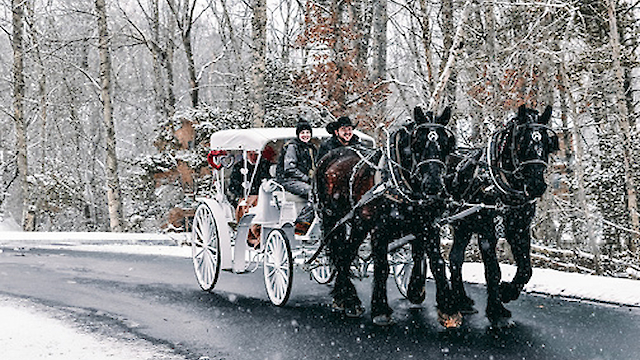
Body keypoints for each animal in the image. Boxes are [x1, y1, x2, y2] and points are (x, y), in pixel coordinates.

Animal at [316, 106, 460, 326]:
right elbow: (382, 266)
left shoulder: (428, 226)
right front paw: (381, 309)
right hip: (334, 217)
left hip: (357, 222)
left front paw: (448, 309)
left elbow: (436, 262)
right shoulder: (379, 229)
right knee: (342, 252)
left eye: (446, 144)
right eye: (417, 144)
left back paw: (345, 298)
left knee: (345, 252)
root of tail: (329, 156)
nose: (433, 185)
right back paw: (349, 299)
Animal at [442, 103, 556, 326]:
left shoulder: (520, 230)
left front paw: (507, 293)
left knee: (455, 258)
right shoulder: (487, 233)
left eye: (547, 144)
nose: (537, 186)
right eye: (522, 144)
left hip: (463, 226)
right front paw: (496, 310)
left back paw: (462, 300)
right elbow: (493, 271)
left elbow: (526, 269)